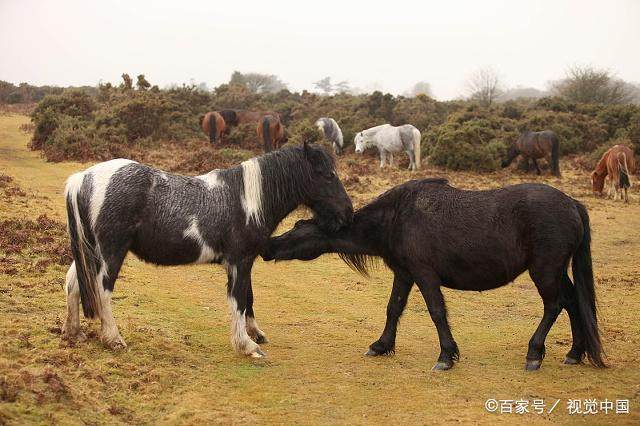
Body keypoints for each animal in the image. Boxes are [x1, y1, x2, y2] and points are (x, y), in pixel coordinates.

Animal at [60, 142, 352, 356]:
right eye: (327, 175)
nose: (347, 213)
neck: (248, 201)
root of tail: (83, 178)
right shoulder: (239, 261)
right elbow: (238, 300)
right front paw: (246, 345)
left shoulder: (244, 261)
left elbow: (249, 297)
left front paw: (254, 334)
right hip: (110, 252)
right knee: (102, 290)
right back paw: (113, 339)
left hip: (90, 251)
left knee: (73, 283)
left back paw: (73, 332)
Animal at [262, 178, 604, 372]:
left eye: (298, 228)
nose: (267, 248)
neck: (396, 218)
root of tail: (572, 203)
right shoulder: (404, 274)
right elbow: (393, 308)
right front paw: (381, 345)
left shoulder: (424, 275)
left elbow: (437, 312)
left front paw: (446, 355)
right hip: (556, 271)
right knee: (573, 303)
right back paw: (575, 353)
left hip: (544, 271)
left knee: (554, 306)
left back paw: (534, 353)